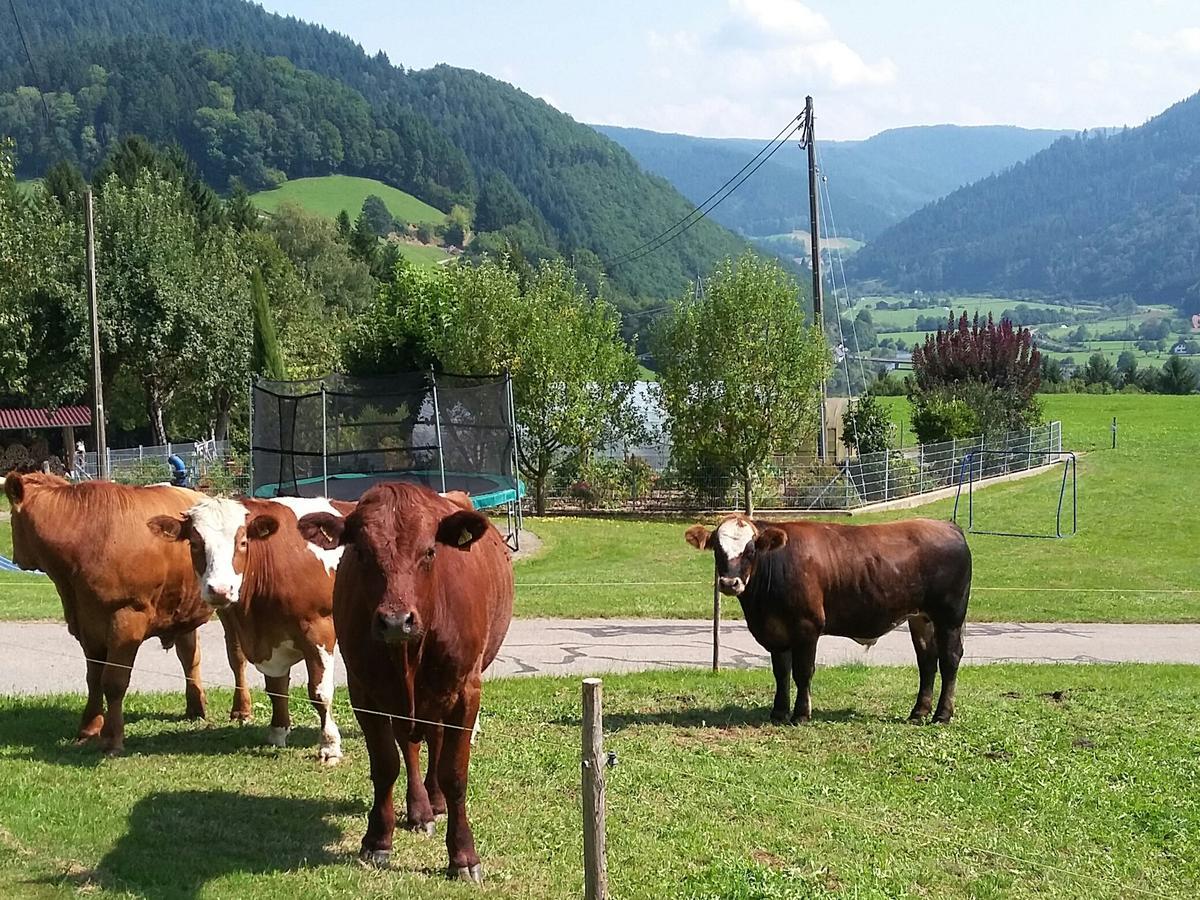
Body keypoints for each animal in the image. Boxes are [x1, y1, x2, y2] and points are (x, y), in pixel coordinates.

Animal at [1, 472, 250, 753]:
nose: (17, 558)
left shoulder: (127, 616)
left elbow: (114, 681)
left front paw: (113, 738)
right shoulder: (87, 624)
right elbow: (94, 678)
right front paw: (89, 729)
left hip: (228, 600)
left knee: (236, 655)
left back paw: (241, 709)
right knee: (190, 656)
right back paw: (195, 707)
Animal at [148, 496, 352, 763]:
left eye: (243, 542)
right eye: (194, 543)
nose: (220, 590)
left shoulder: (319, 630)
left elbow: (320, 692)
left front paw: (330, 746)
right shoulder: (267, 640)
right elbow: (276, 689)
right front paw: (277, 732)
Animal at [297, 482, 513, 883]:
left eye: (429, 551)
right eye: (361, 552)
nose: (396, 621)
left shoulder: (465, 691)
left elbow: (454, 773)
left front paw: (463, 855)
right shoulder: (365, 691)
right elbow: (386, 766)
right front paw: (377, 840)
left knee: (436, 742)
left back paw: (435, 802)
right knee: (410, 747)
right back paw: (420, 810)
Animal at [691, 513, 969, 724]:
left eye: (750, 550)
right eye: (717, 549)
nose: (729, 583)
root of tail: (948, 527)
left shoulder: (807, 627)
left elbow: (803, 672)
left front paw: (801, 714)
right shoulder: (775, 631)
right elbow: (781, 672)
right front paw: (778, 712)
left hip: (950, 618)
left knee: (949, 660)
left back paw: (942, 714)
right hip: (921, 618)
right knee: (927, 660)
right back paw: (919, 712)